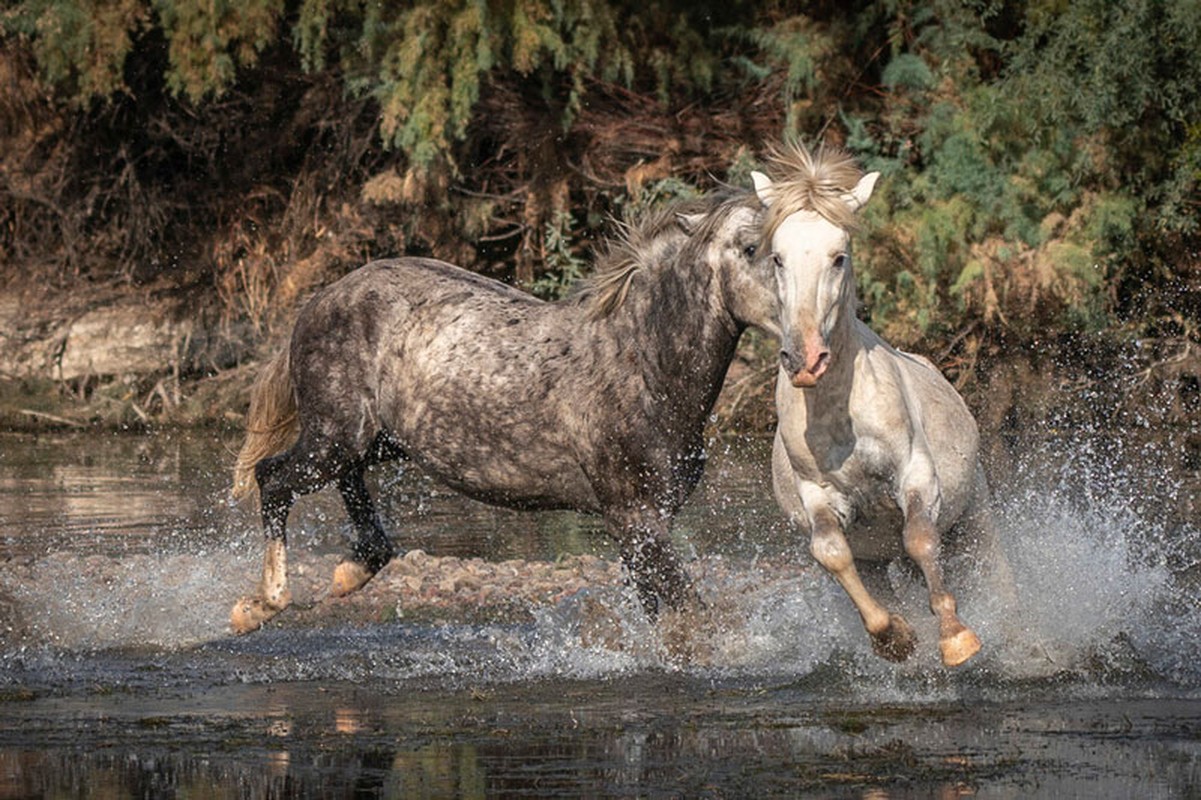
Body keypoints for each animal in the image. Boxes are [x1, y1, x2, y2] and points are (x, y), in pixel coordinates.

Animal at [229, 192, 773, 629]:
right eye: (752, 248)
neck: (640, 362)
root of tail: (318, 301)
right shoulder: (634, 518)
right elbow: (692, 615)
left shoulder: (648, 524)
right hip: (333, 437)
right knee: (271, 477)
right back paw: (261, 605)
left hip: (376, 442)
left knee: (345, 484)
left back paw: (352, 569)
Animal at [749, 144, 1004, 667]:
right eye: (778, 258)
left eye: (839, 257)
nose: (804, 360)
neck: (838, 416)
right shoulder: (818, 495)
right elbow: (832, 553)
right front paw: (894, 637)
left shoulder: (915, 473)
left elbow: (920, 537)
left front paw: (956, 638)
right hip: (879, 557)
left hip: (976, 514)